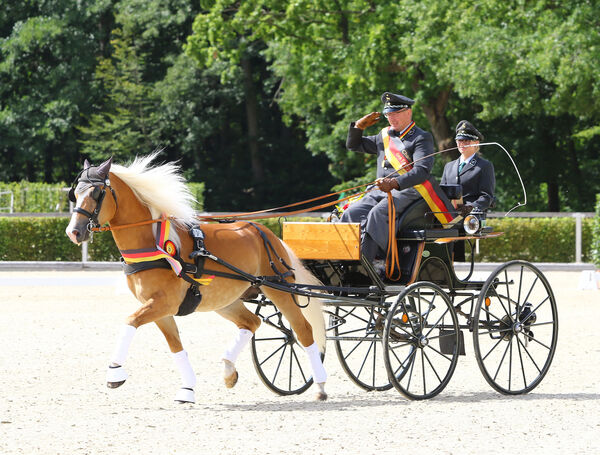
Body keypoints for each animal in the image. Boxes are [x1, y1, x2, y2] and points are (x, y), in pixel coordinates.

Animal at [65, 155, 328, 404]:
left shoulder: (163, 304)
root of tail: (267, 233)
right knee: (251, 323)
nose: (73, 232)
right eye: (75, 193)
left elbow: (129, 321)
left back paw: (320, 386)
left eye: (96, 193)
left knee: (302, 331)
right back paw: (228, 370)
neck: (151, 244)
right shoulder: (160, 309)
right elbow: (176, 347)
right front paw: (188, 389)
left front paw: (115, 372)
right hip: (225, 300)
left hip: (280, 289)